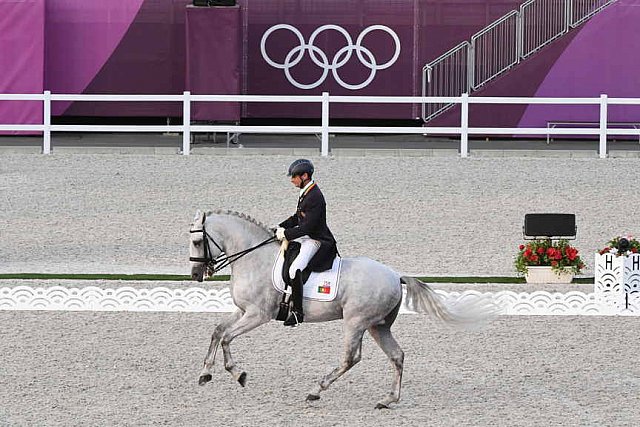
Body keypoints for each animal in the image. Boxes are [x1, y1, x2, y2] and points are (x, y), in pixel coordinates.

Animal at [190, 209, 496, 410]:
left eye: (197, 241)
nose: (195, 275)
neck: (253, 258)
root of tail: (395, 276)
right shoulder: (243, 310)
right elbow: (217, 331)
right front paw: (205, 373)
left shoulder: (258, 314)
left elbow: (227, 337)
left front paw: (238, 374)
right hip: (377, 326)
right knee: (396, 355)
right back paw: (387, 400)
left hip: (356, 321)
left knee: (351, 357)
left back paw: (315, 391)